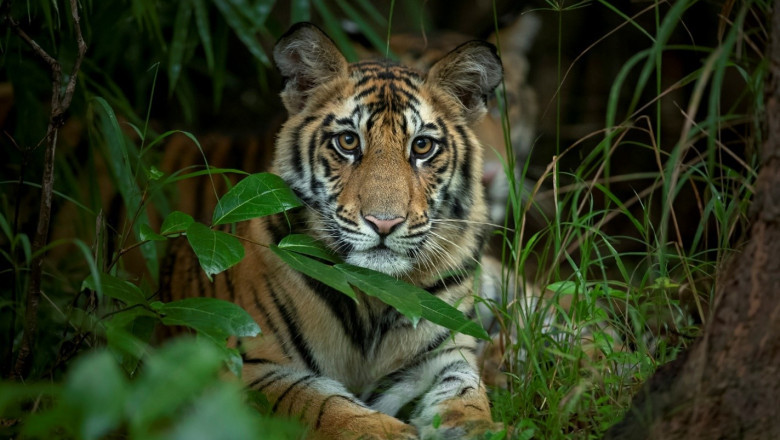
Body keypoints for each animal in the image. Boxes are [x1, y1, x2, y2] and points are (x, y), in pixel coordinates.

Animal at [163, 22, 504, 439]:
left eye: (422, 146)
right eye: (348, 141)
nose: (384, 222)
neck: (376, 296)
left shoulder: (446, 353)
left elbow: (465, 394)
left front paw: (476, 427)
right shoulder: (248, 364)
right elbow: (320, 403)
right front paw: (386, 432)